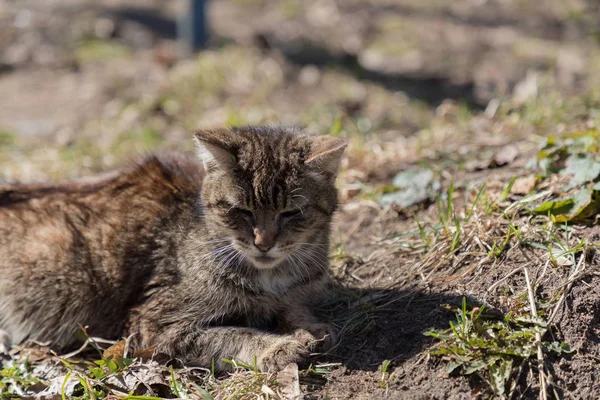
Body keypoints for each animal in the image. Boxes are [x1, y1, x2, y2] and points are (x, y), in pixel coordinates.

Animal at [0, 126, 346, 372]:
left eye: (291, 213)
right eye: (242, 211)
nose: (264, 243)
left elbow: (293, 307)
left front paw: (309, 326)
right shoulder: (154, 326)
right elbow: (233, 335)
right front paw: (278, 347)